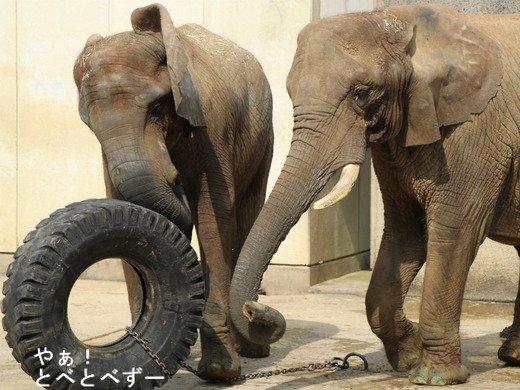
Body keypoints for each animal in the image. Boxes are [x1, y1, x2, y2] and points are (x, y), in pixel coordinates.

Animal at [75, 3, 276, 380]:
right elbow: (128, 208)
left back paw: (252, 350)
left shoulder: (212, 122)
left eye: (158, 106)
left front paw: (219, 371)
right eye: (88, 122)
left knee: (247, 215)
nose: (175, 181)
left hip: (263, 136)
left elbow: (214, 213)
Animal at [231, 3, 520, 386]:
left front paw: (432, 377)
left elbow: (454, 232)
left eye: (361, 94)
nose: (254, 307)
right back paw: (513, 355)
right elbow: (405, 231)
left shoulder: (477, 131)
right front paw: (409, 357)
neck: (402, 19)